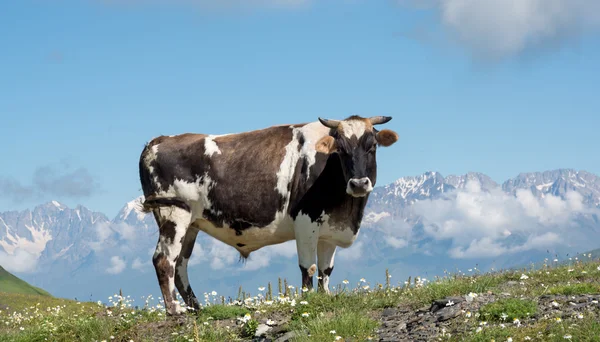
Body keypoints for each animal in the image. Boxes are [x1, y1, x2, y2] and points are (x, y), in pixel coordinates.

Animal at [138, 115, 396, 316]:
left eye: (372, 146)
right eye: (341, 149)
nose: (359, 183)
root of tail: (159, 140)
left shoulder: (330, 231)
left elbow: (326, 270)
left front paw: (325, 297)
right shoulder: (305, 221)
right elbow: (309, 267)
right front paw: (306, 301)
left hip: (191, 223)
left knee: (181, 264)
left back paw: (196, 308)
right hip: (174, 213)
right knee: (164, 259)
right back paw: (174, 310)